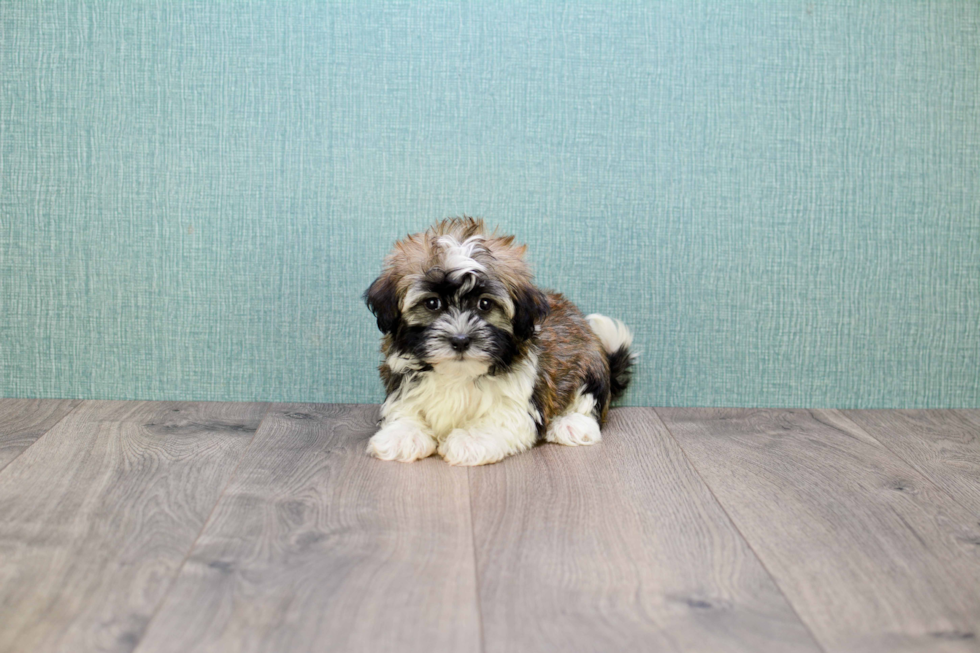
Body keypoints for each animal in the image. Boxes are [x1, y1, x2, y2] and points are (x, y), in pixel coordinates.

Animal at [364, 218, 632, 464]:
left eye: (485, 303)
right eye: (432, 303)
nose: (460, 340)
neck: (458, 375)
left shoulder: (519, 407)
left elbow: (499, 421)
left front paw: (469, 440)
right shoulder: (403, 384)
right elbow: (404, 411)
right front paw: (402, 435)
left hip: (589, 367)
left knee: (588, 401)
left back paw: (572, 424)